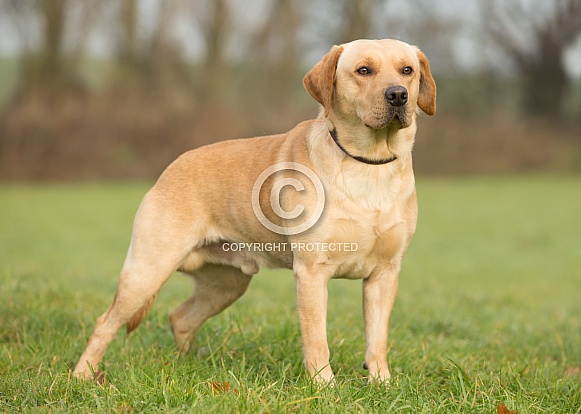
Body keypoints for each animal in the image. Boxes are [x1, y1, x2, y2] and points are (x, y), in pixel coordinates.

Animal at [73, 39, 436, 384]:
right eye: (363, 70)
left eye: (407, 70)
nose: (398, 95)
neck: (368, 165)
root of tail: (171, 167)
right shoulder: (311, 272)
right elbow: (316, 339)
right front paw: (324, 387)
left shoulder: (385, 274)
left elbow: (377, 339)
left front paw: (381, 384)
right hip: (148, 271)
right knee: (105, 322)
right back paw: (82, 375)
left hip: (226, 283)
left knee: (181, 317)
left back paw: (184, 365)